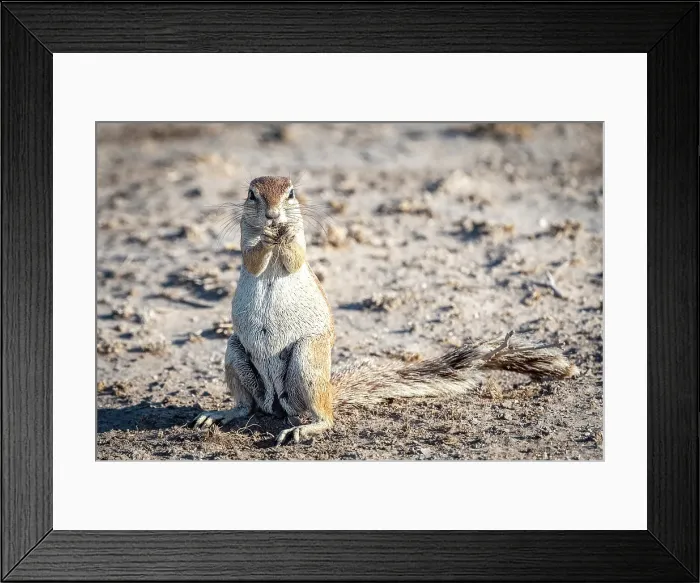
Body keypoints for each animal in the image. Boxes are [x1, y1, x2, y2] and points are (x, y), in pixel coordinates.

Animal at [191, 176, 580, 445]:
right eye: (251, 194)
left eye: (291, 194)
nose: (273, 216)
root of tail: (280, 402)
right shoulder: (246, 241)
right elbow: (253, 259)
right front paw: (267, 238)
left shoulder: (300, 244)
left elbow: (294, 256)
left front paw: (283, 235)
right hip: (235, 353)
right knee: (247, 406)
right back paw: (219, 414)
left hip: (307, 359)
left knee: (323, 416)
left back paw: (306, 428)